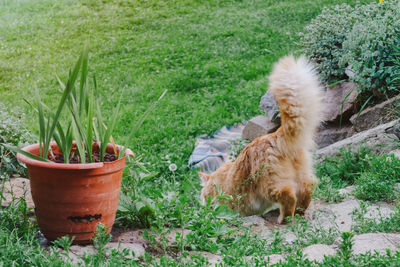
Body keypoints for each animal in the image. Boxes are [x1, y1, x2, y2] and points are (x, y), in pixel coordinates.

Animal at [198, 56, 324, 224]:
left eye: (204, 196)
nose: (204, 206)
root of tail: (274, 135)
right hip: (301, 175)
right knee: (307, 190)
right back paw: (299, 213)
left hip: (269, 185)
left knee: (288, 196)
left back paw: (283, 218)